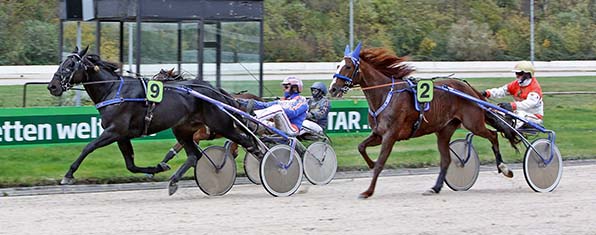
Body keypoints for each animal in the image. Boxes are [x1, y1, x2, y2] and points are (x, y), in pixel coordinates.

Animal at [46, 46, 260, 194]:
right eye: (62, 64)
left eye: (70, 65)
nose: (52, 86)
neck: (113, 90)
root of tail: (215, 90)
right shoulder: (122, 136)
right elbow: (130, 165)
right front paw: (157, 167)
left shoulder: (114, 130)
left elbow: (88, 147)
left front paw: (68, 175)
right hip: (183, 129)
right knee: (194, 156)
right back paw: (174, 181)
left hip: (220, 124)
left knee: (248, 141)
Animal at [328, 44, 520, 198]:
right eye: (337, 65)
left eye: (348, 66)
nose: (333, 89)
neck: (386, 94)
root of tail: (470, 90)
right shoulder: (378, 134)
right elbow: (361, 147)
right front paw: (370, 164)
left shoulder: (390, 135)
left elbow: (381, 162)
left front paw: (368, 191)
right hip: (444, 130)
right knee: (446, 160)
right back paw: (435, 188)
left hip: (473, 123)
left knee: (493, 135)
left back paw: (504, 168)